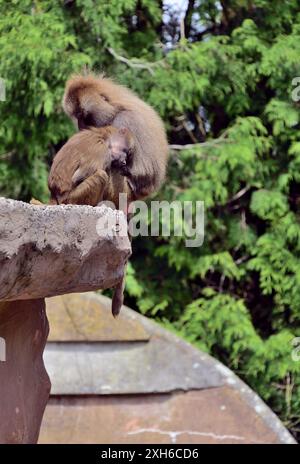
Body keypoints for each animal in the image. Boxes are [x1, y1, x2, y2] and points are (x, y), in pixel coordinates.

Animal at [48, 125, 135, 318]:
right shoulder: (102, 152)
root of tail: (56, 199)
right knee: (101, 174)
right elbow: (81, 177)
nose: (125, 160)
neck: (103, 135)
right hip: (73, 199)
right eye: (125, 151)